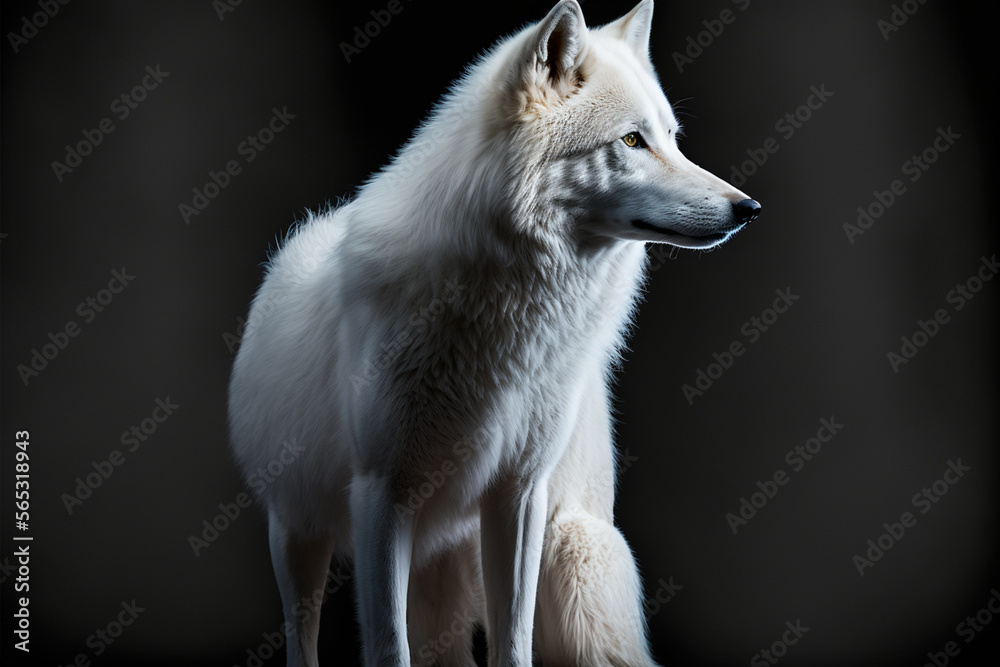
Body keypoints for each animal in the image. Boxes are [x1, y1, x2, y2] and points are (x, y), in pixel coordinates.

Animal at [228, 1, 759, 665]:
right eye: (632, 140)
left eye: (671, 139)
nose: (748, 209)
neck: (511, 314)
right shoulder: (383, 495)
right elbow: (388, 647)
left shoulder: (519, 494)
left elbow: (513, 640)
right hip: (299, 534)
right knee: (304, 640)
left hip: (570, 555)